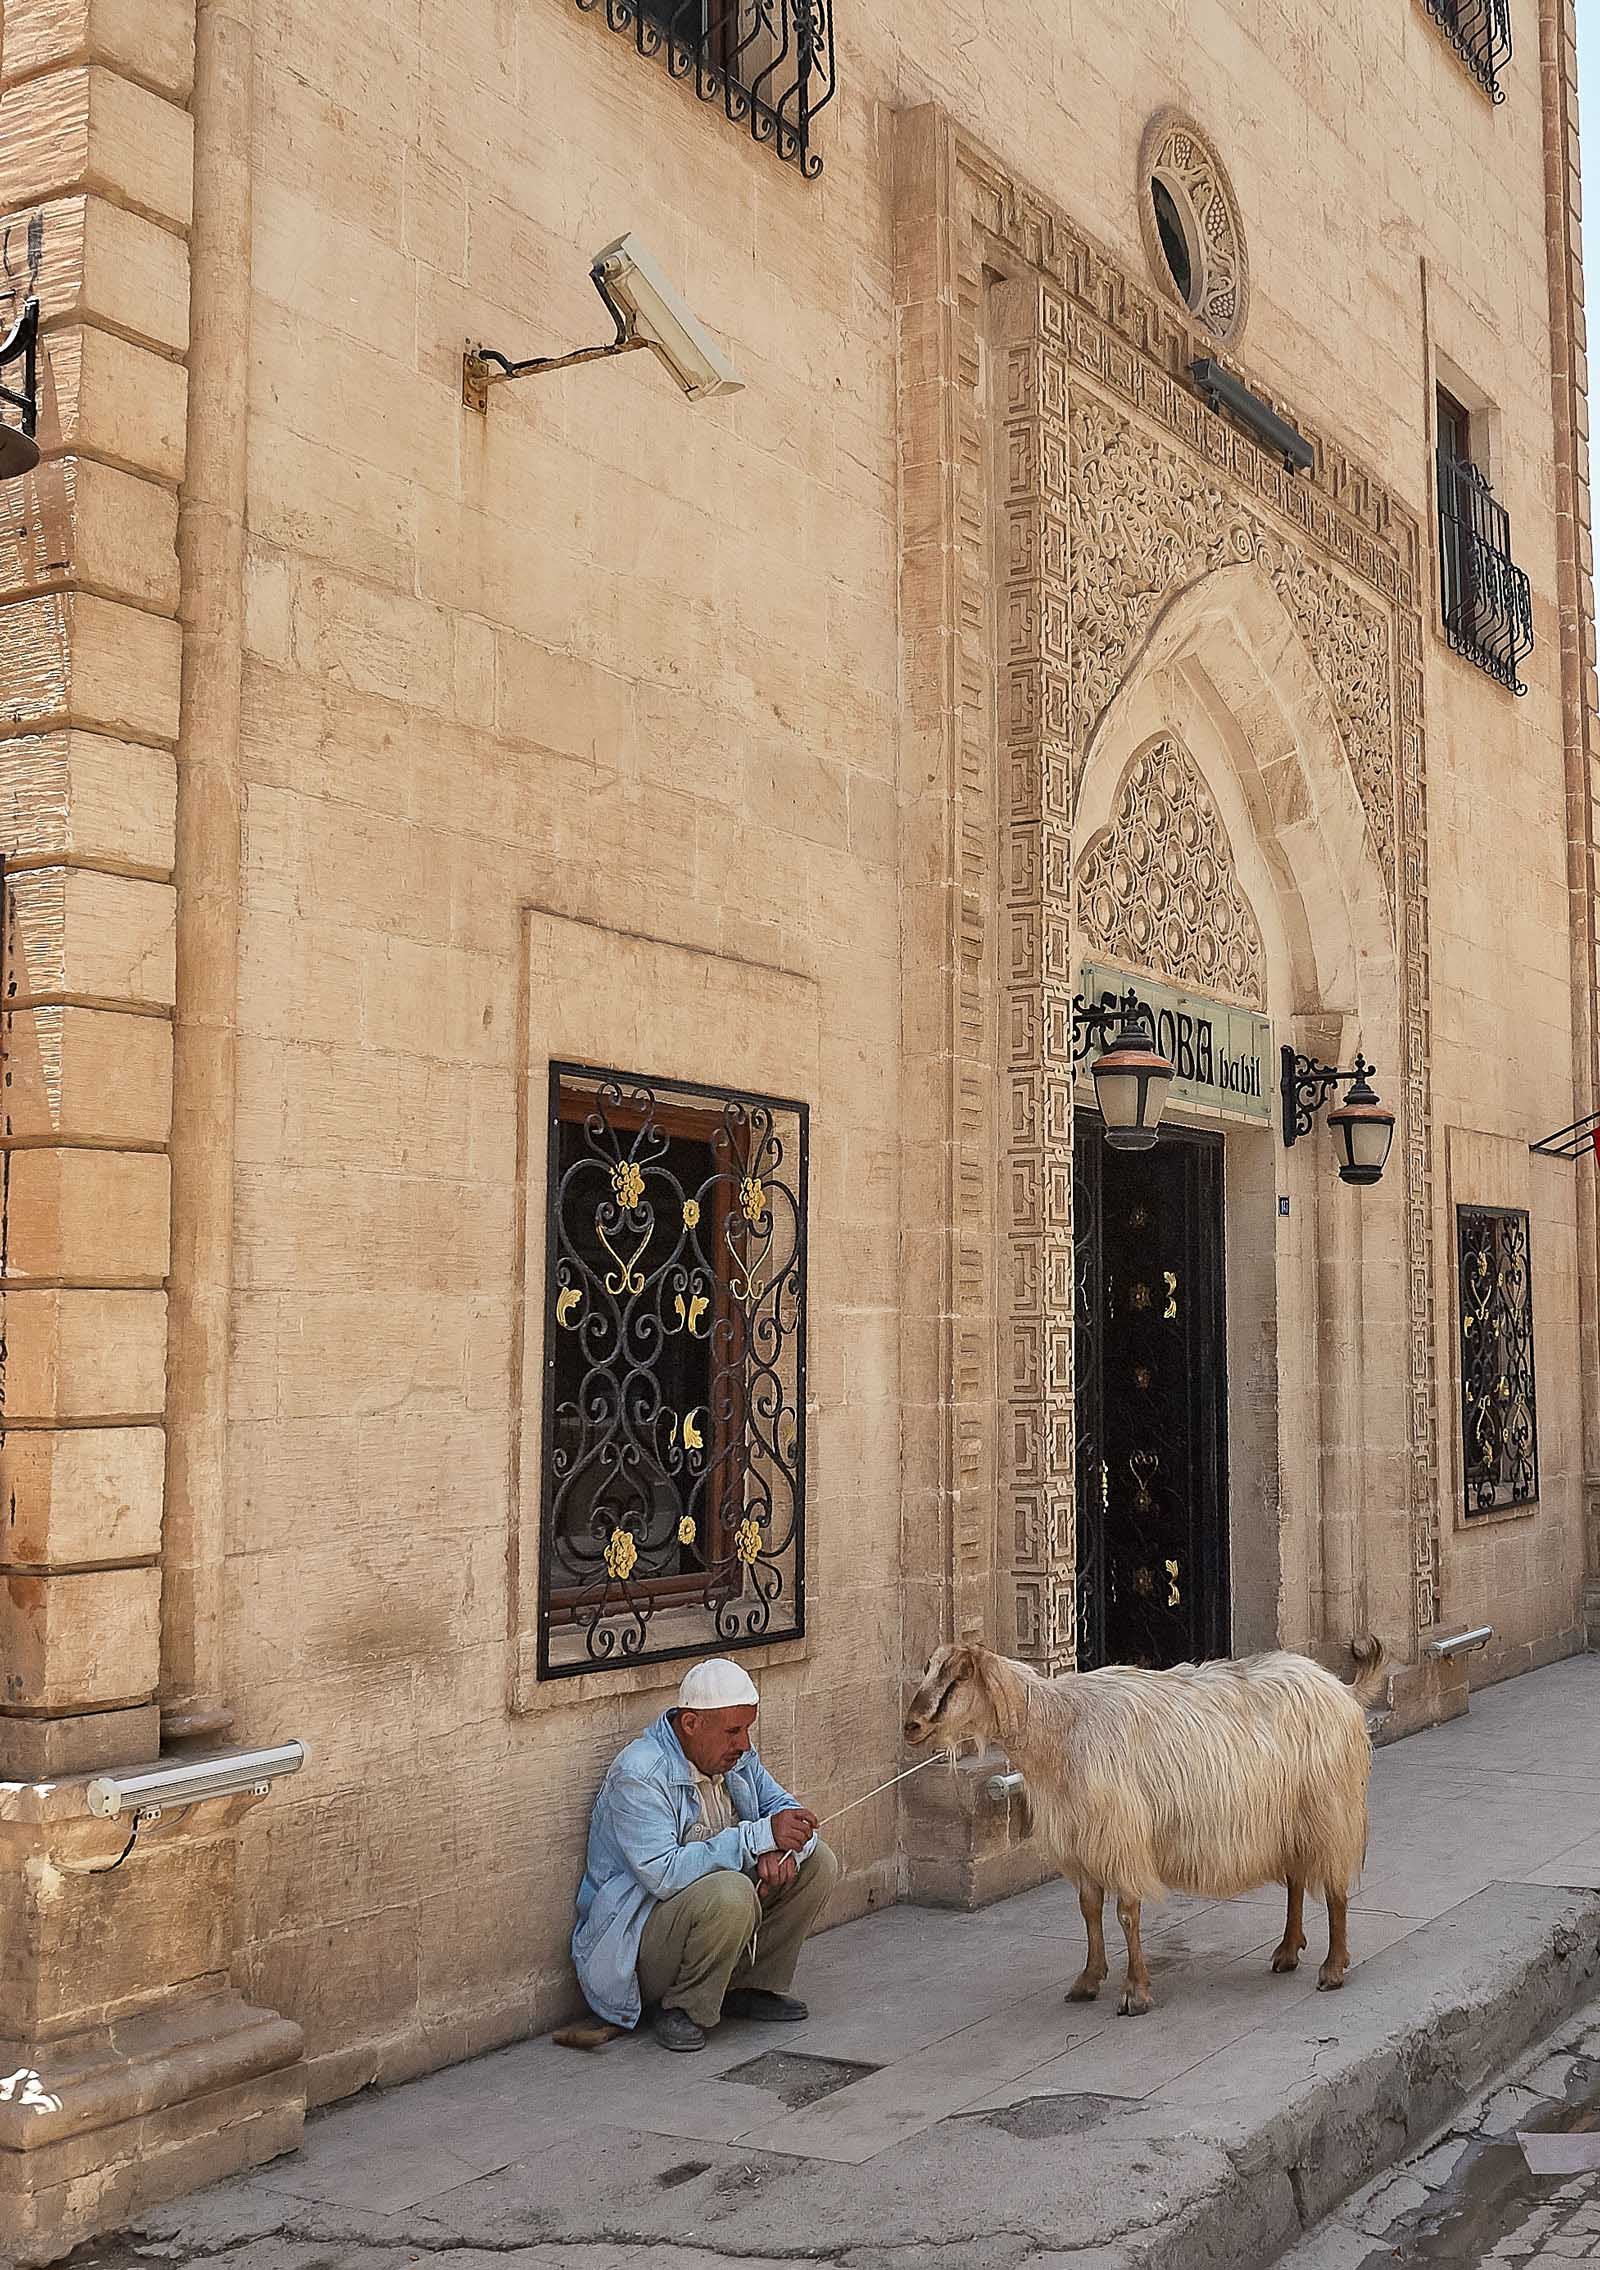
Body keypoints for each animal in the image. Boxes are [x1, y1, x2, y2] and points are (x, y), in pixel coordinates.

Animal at [903, 1643, 1379, 2015]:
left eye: (959, 1676)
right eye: (928, 1669)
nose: (911, 1726)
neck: (1058, 1726)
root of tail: (1340, 1688)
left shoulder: (1119, 1836)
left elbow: (1126, 1914)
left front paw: (1135, 1992)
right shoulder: (1082, 1840)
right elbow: (1089, 1909)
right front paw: (1088, 1979)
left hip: (1330, 1808)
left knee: (1334, 1887)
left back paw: (1333, 1968)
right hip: (1289, 1816)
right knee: (1297, 1877)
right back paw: (1287, 1950)